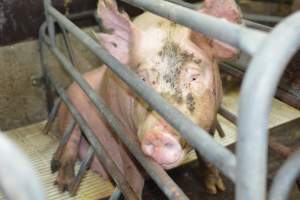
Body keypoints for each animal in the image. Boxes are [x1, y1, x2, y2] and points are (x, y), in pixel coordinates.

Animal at [52, 0, 243, 197]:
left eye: (194, 78)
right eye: (142, 79)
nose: (158, 134)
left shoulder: (211, 119)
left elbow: (207, 157)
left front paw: (216, 189)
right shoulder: (121, 129)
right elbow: (132, 177)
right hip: (72, 108)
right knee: (69, 145)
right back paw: (63, 185)